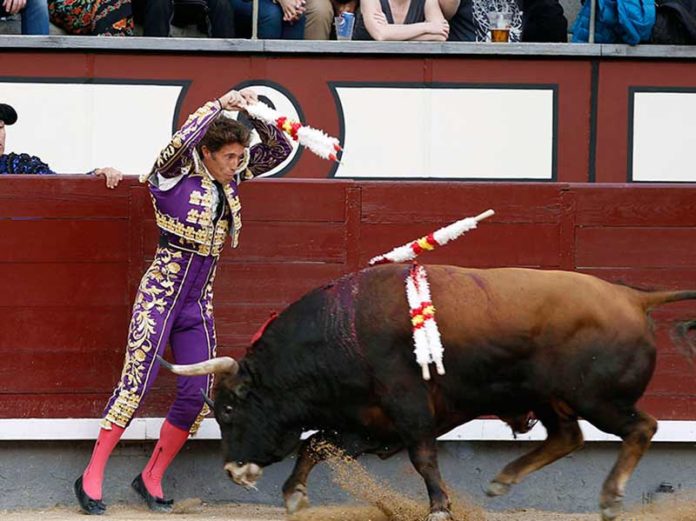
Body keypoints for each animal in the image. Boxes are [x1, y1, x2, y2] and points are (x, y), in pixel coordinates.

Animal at [160, 264, 696, 520]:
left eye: (231, 406)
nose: (232, 470)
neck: (344, 331)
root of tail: (634, 296)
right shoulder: (367, 420)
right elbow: (316, 444)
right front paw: (293, 496)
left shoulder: (408, 408)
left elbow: (422, 458)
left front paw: (439, 507)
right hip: (553, 400)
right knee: (569, 437)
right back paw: (502, 481)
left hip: (597, 399)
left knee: (641, 428)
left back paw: (610, 499)